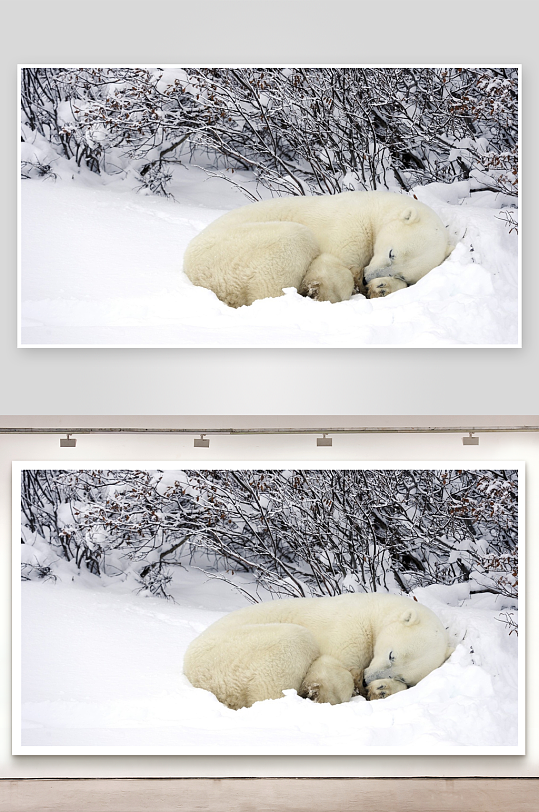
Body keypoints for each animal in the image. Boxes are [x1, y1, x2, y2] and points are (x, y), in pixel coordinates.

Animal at [183, 191, 452, 308]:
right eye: (391, 252)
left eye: (402, 274)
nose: (368, 278)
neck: (374, 210)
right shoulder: (349, 228)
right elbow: (330, 266)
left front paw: (382, 288)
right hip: (233, 252)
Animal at [183, 592, 453, 710]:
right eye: (391, 654)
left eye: (402, 676)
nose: (368, 680)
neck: (374, 612)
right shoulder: (349, 630)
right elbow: (330, 666)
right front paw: (329, 691)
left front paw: (382, 689)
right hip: (233, 653)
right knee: (292, 644)